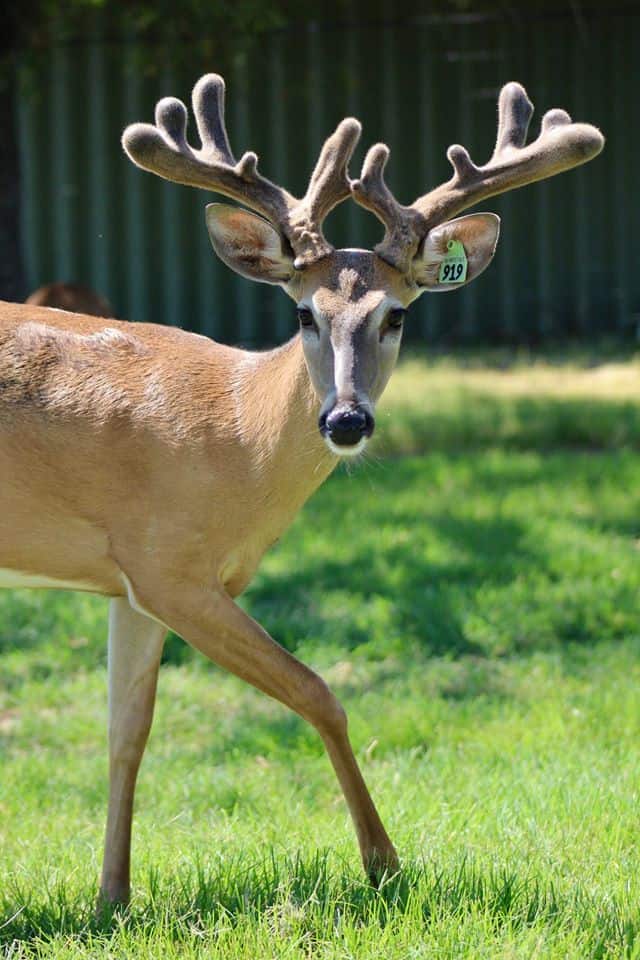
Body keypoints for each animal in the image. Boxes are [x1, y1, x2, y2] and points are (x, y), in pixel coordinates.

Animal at [0, 73, 603, 907]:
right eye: (302, 313)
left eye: (397, 315)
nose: (347, 419)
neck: (234, 431)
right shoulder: (171, 567)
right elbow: (318, 691)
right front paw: (383, 862)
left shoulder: (129, 583)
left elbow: (127, 733)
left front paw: (111, 898)